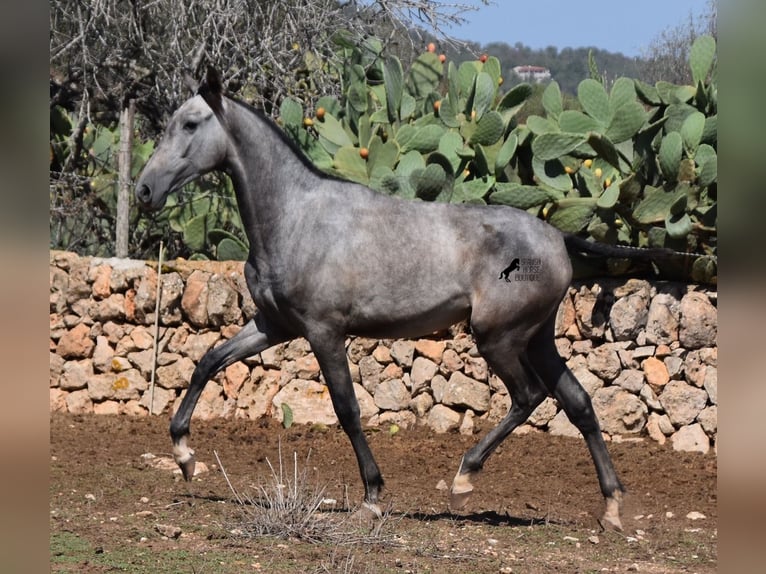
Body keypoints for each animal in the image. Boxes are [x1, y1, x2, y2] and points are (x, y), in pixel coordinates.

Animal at [135, 68, 664, 536]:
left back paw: (464, 479)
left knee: (528, 396)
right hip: (537, 339)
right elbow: (207, 362)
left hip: (499, 338)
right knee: (578, 403)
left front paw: (372, 496)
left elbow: (347, 409)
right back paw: (611, 508)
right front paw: (184, 457)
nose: (144, 190)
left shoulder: (323, 331)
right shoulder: (273, 324)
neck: (297, 217)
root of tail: (558, 237)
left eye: (189, 124)